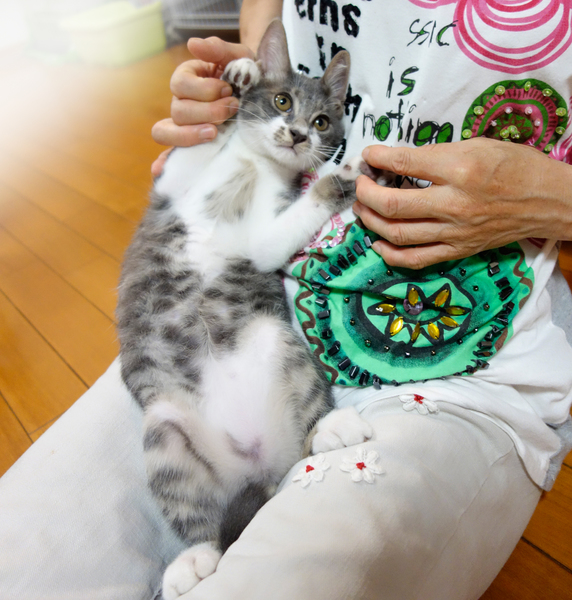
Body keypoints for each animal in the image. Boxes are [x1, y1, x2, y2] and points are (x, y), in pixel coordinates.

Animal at [116, 19, 381, 600]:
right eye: (282, 100)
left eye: (322, 120)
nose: (299, 134)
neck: (254, 166)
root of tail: (253, 463)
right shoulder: (174, 185)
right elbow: (195, 147)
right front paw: (235, 71)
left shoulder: (260, 238)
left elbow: (296, 213)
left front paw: (347, 170)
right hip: (164, 430)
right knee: (197, 515)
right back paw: (194, 558)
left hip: (275, 339)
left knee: (303, 434)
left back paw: (330, 429)